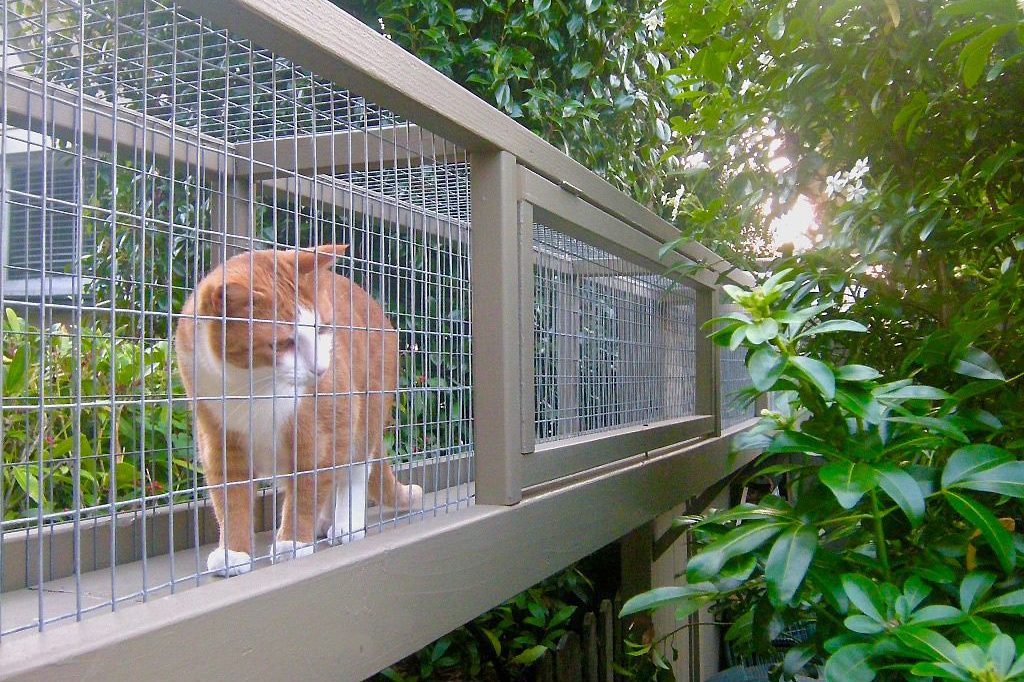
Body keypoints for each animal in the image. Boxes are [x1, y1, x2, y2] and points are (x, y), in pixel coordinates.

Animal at [174, 244, 421, 573]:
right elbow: (231, 498)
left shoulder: (321, 434)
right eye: (283, 343)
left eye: (323, 329)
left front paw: (293, 542)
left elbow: (307, 489)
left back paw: (346, 524)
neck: (251, 386)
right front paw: (232, 552)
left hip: (366, 415)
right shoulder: (219, 438)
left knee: (353, 471)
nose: (319, 369)